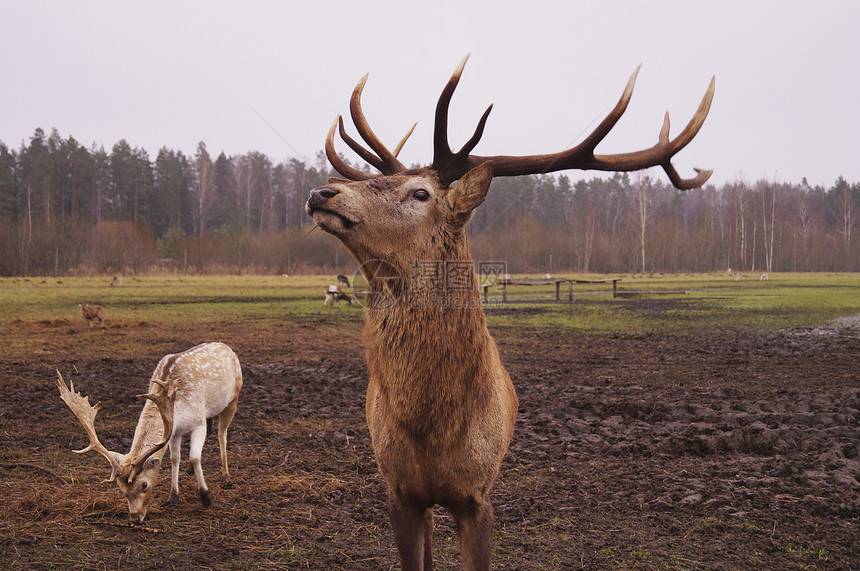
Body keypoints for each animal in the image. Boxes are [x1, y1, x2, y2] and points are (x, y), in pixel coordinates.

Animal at [54, 342, 242, 524]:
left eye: (144, 485)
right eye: (121, 488)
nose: (135, 518)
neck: (177, 408)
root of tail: (227, 347)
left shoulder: (198, 422)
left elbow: (195, 456)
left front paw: (206, 498)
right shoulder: (174, 432)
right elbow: (175, 459)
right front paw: (172, 498)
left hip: (233, 399)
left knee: (222, 436)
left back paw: (226, 479)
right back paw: (190, 471)